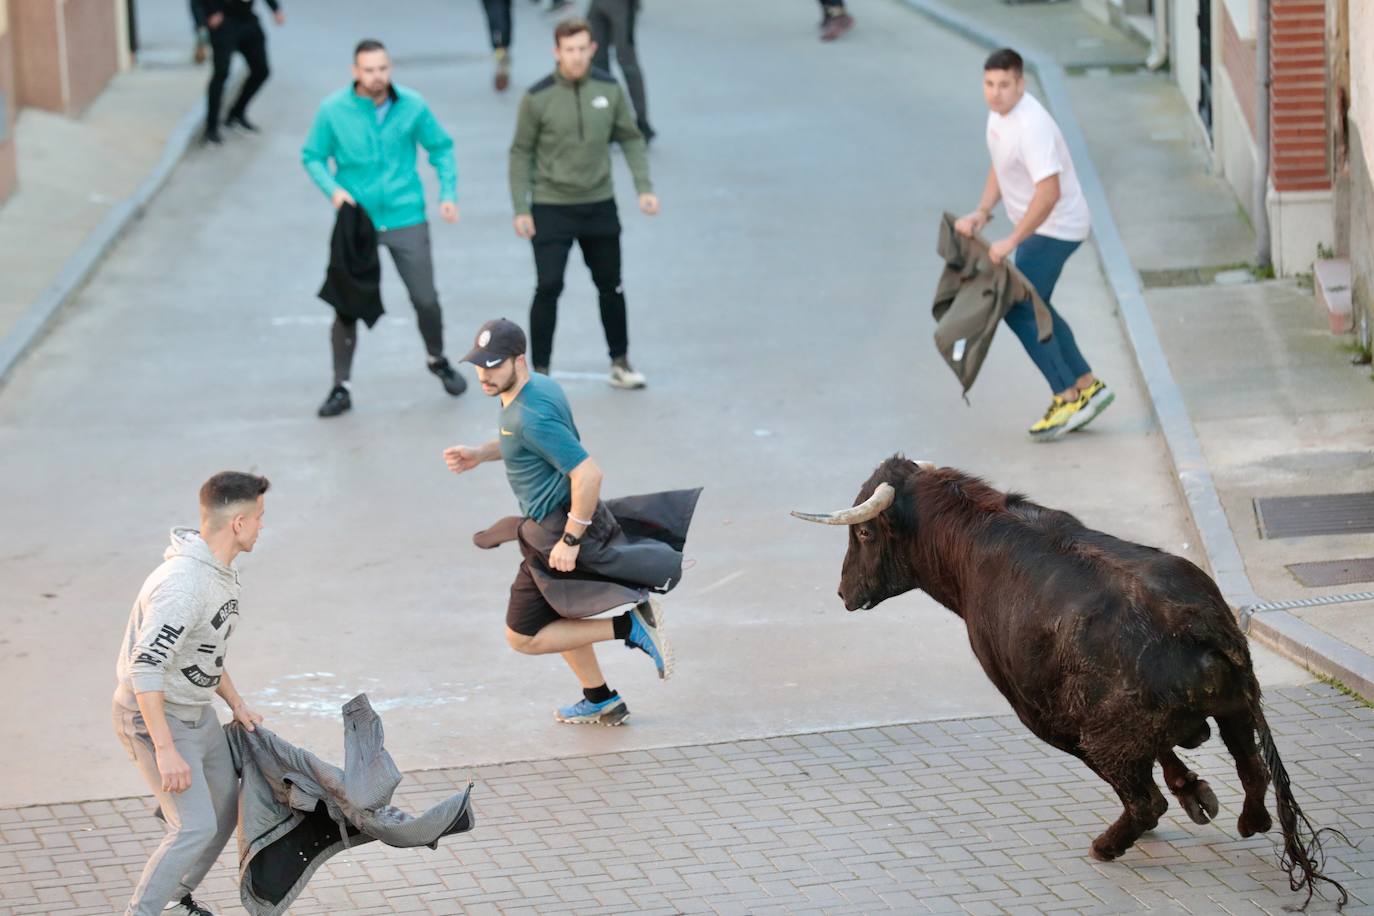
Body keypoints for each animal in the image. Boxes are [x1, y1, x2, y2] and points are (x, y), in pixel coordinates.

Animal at [802, 458, 1346, 911]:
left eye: (864, 532)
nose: (843, 592)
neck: (972, 540)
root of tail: (1193, 623)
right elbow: (1168, 752)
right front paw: (1195, 791)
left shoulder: (1044, 713)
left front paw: (1188, 794)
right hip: (1235, 709)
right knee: (1251, 768)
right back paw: (1248, 821)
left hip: (1103, 736)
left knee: (1145, 801)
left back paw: (1107, 845)